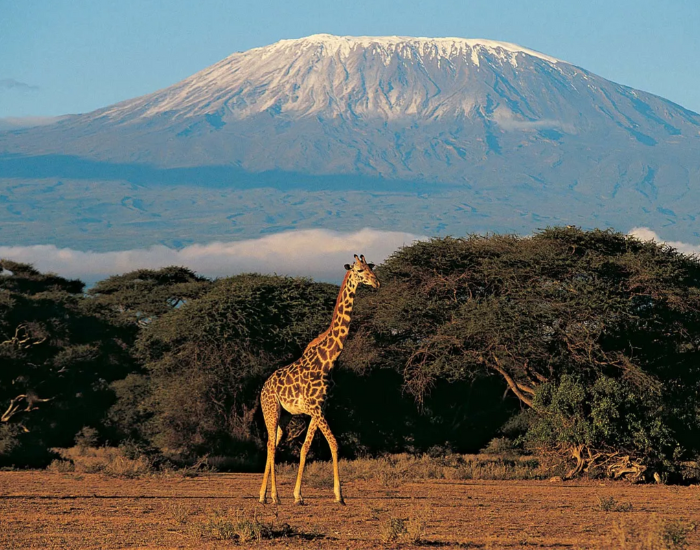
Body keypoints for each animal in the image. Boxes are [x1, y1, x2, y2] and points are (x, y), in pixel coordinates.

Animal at [258, 254, 380, 505]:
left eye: (371, 268)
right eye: (359, 270)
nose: (376, 282)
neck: (328, 360)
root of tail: (263, 388)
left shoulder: (319, 408)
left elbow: (305, 447)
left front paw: (298, 495)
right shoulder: (315, 408)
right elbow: (334, 443)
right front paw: (339, 495)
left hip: (284, 416)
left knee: (272, 443)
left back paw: (263, 495)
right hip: (270, 409)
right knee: (271, 445)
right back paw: (274, 496)